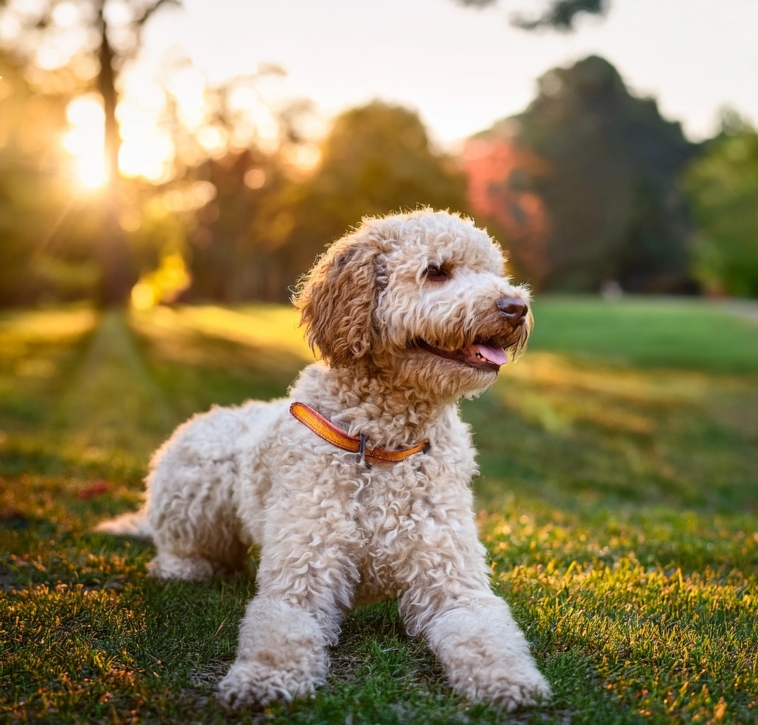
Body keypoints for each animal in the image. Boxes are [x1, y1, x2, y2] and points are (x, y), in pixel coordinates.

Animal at [99, 208, 552, 708]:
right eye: (437, 271)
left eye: (494, 271)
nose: (515, 307)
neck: (382, 445)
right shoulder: (301, 578)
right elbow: (277, 634)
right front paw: (261, 679)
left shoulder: (455, 583)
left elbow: (489, 633)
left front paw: (510, 680)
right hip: (196, 480)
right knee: (179, 545)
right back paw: (184, 566)